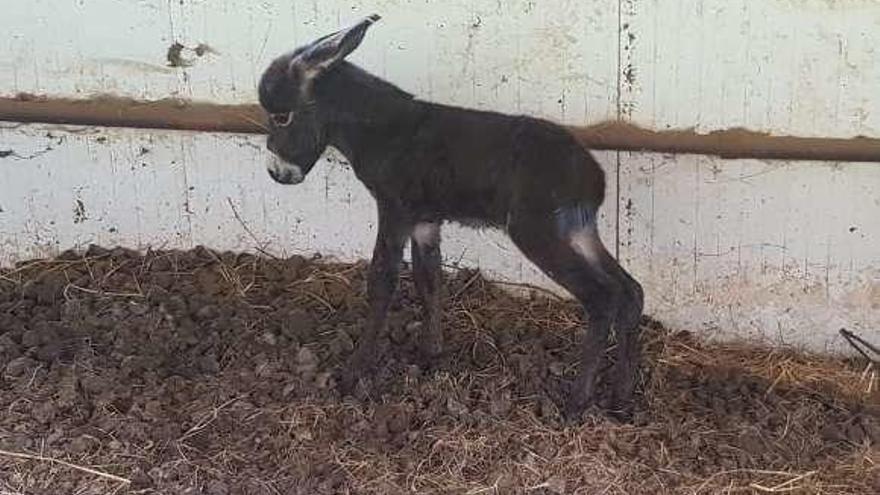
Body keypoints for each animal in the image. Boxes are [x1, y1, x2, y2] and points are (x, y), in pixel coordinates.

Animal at [258, 14, 644, 418]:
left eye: (281, 117)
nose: (276, 173)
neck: (383, 130)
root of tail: (593, 177)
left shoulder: (394, 210)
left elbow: (382, 281)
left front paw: (354, 373)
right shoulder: (425, 220)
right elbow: (429, 279)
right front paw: (431, 356)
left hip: (538, 234)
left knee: (602, 297)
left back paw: (576, 403)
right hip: (578, 233)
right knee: (629, 290)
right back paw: (621, 398)